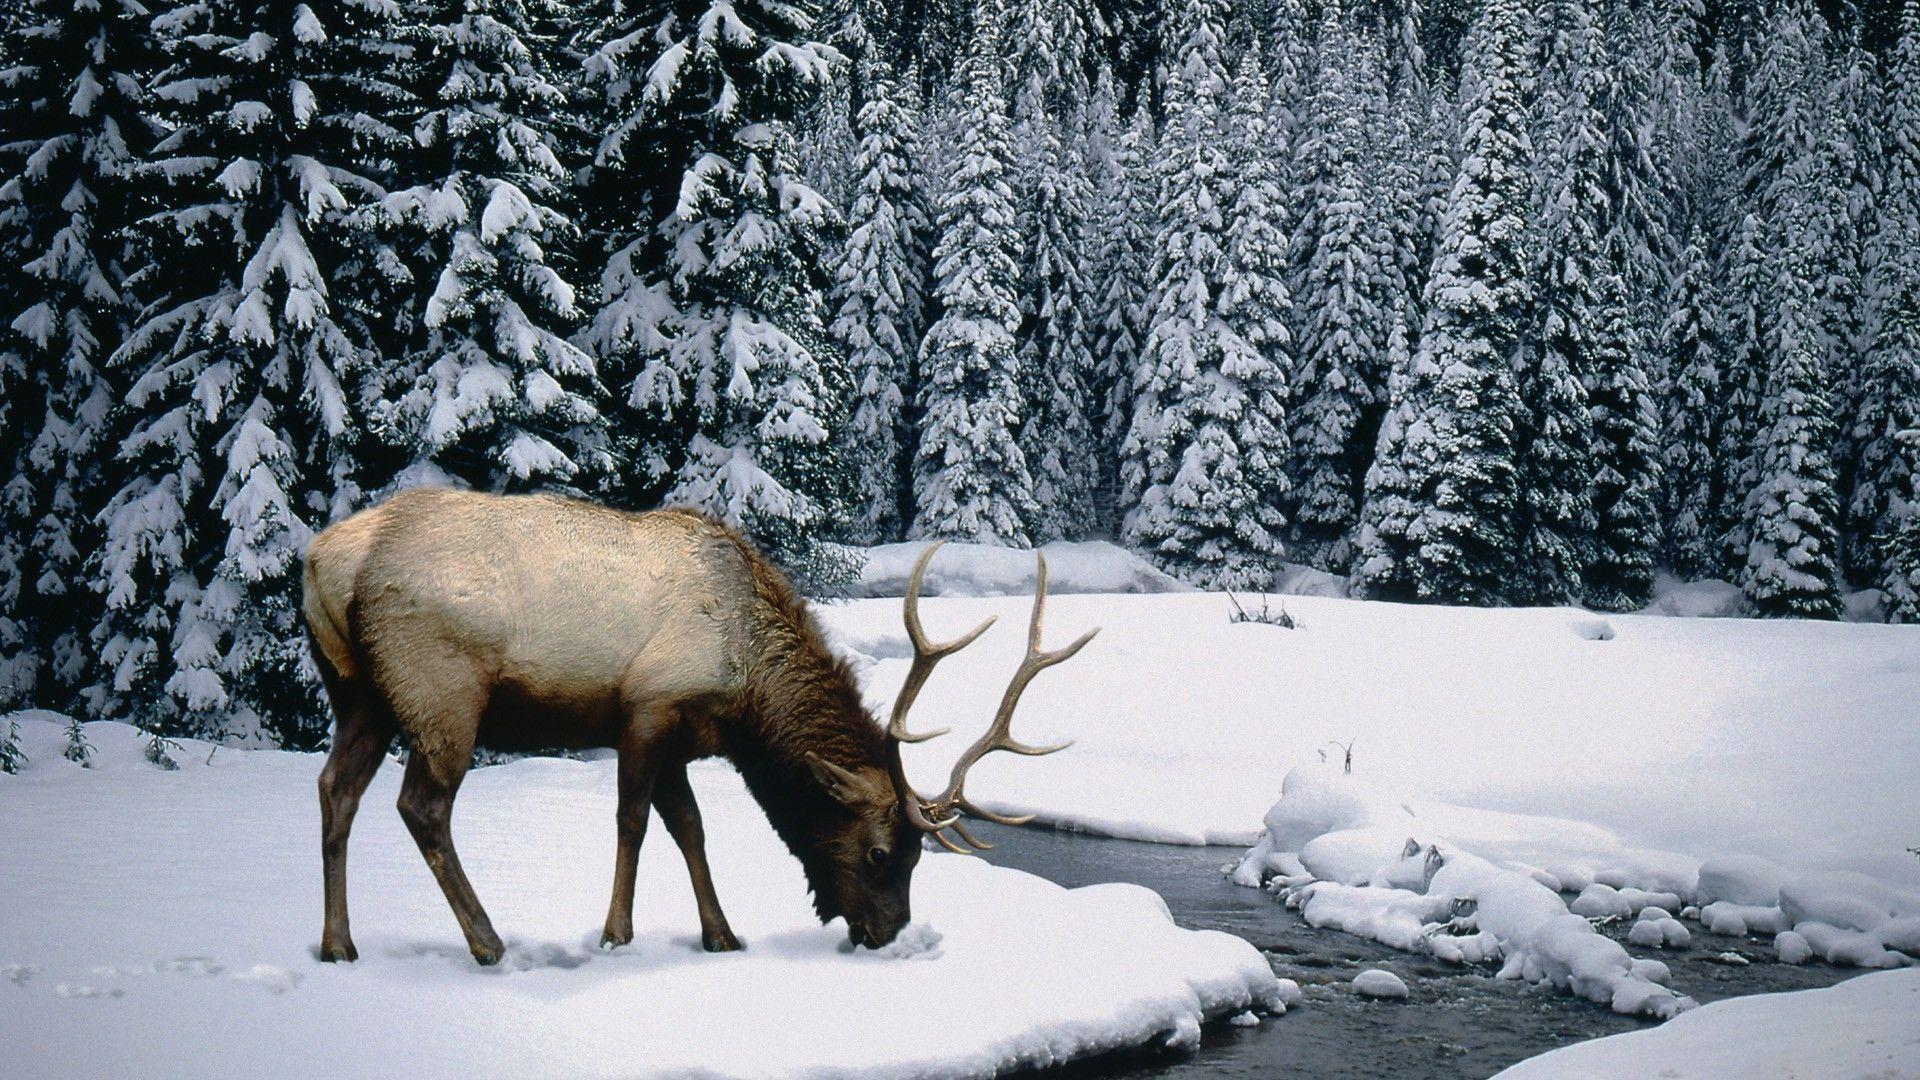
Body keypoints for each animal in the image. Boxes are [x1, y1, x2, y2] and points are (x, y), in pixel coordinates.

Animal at [301, 487, 1095, 965]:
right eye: (879, 853)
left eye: (918, 856)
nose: (889, 932)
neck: (746, 691)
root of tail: (319, 563)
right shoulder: (646, 706)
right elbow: (633, 822)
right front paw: (616, 934)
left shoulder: (683, 739)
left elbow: (690, 827)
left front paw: (722, 934)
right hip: (441, 692)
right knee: (421, 807)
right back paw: (488, 941)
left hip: (358, 696)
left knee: (336, 790)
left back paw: (338, 943)